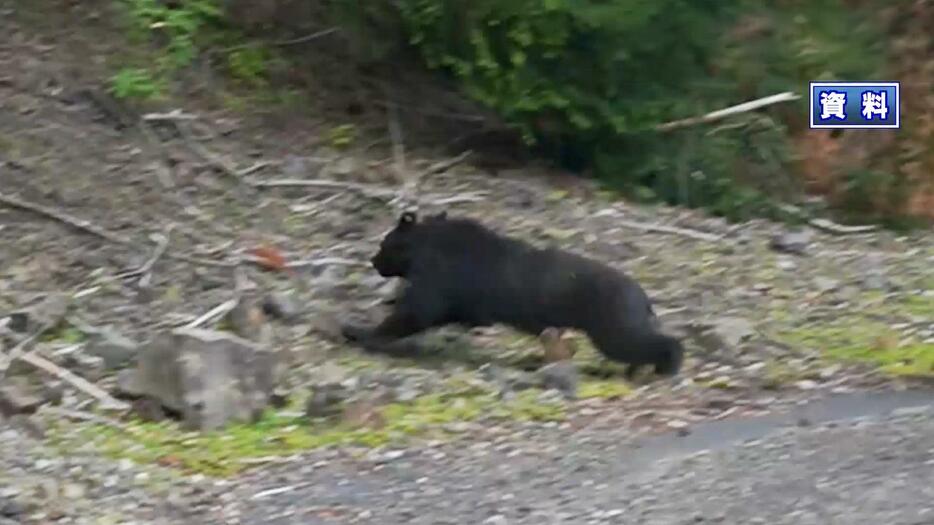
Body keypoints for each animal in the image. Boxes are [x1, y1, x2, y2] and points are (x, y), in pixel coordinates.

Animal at [344, 209, 688, 376]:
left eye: (383, 244)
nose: (374, 261)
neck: (426, 249)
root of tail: (644, 298)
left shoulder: (440, 279)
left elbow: (416, 311)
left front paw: (358, 331)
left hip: (610, 319)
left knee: (637, 341)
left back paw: (666, 364)